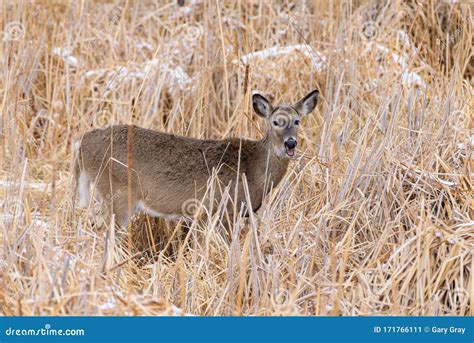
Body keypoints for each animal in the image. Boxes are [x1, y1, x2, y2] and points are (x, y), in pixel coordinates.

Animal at [73, 90, 318, 231]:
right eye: (276, 122)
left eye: (297, 121)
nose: (290, 144)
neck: (253, 167)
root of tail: (82, 143)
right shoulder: (223, 208)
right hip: (119, 192)